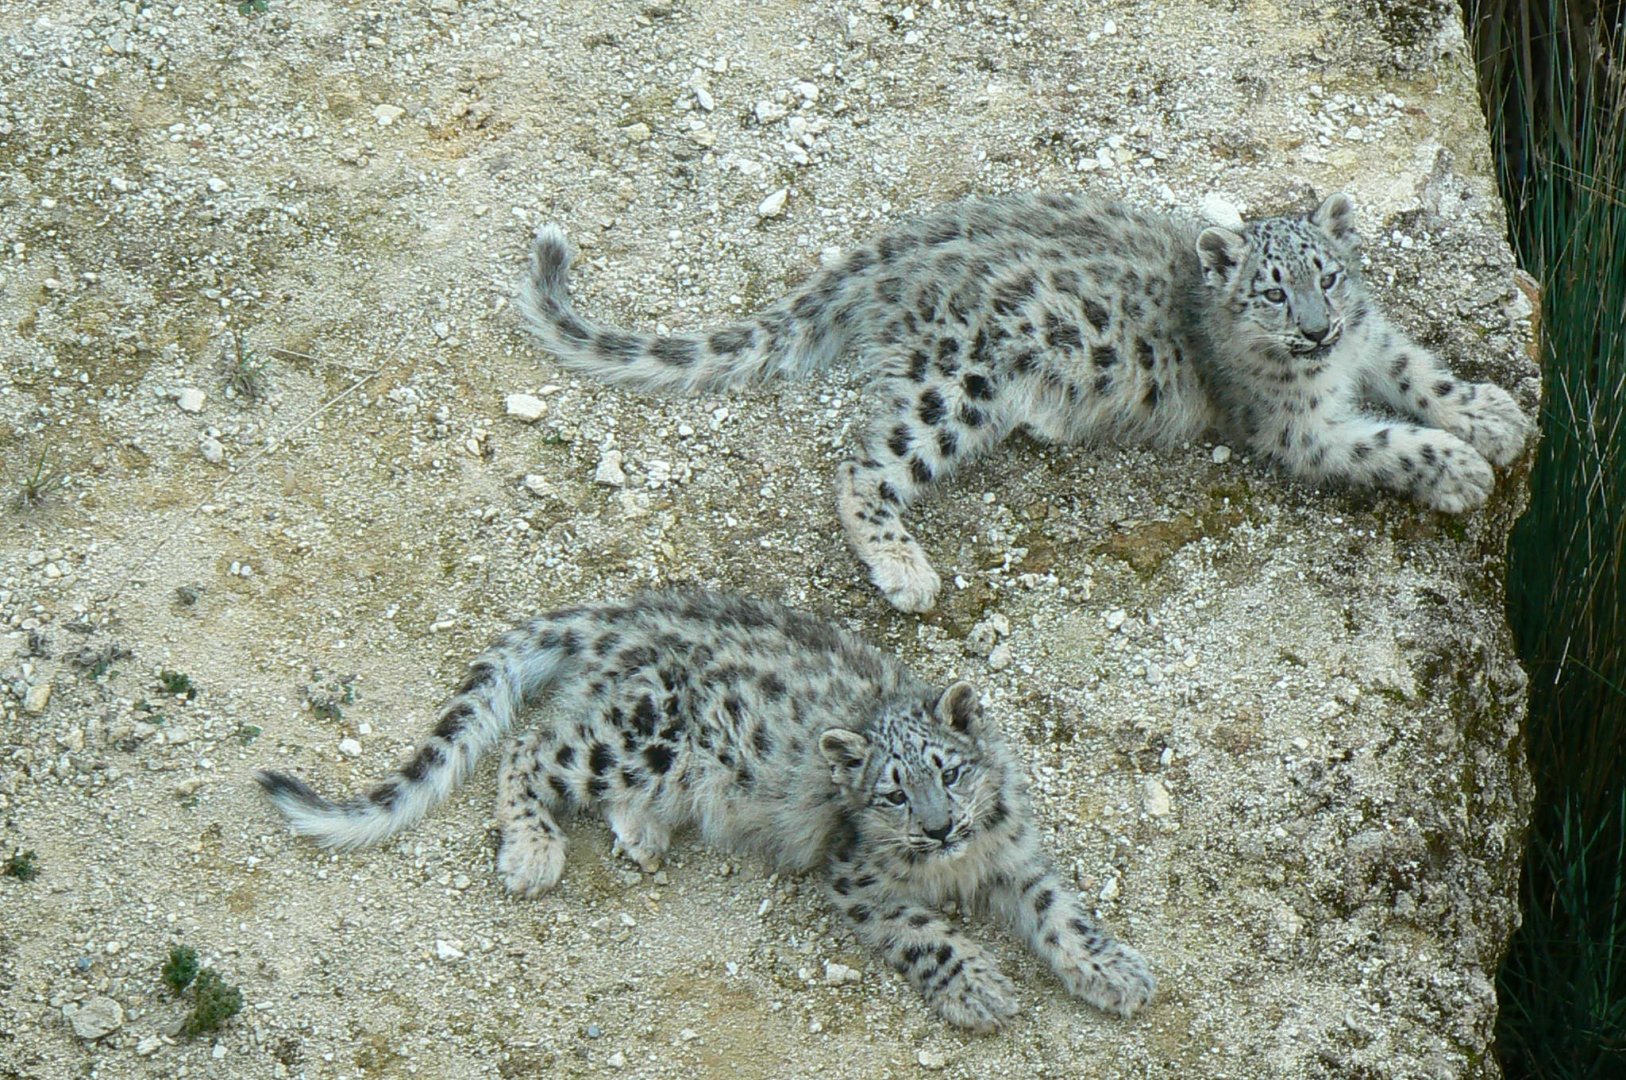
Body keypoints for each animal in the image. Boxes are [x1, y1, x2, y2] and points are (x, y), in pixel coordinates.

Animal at [255, 590, 1156, 1031]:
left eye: (951, 772)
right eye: (892, 793)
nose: (939, 828)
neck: (960, 865)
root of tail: (615, 617)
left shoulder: (1015, 851)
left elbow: (1062, 911)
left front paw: (1114, 971)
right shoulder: (857, 875)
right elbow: (921, 934)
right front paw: (978, 989)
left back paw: (644, 834)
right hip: (639, 733)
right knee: (534, 747)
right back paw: (533, 851)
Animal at [517, 192, 1530, 612]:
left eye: (1328, 275)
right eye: (1273, 293)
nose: (1317, 332)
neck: (1330, 367)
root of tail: (905, 248)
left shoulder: (1379, 340)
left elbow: (1426, 377)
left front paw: (1492, 416)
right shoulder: (1300, 428)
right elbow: (1388, 441)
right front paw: (1460, 468)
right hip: (953, 386)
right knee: (862, 466)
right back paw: (905, 570)